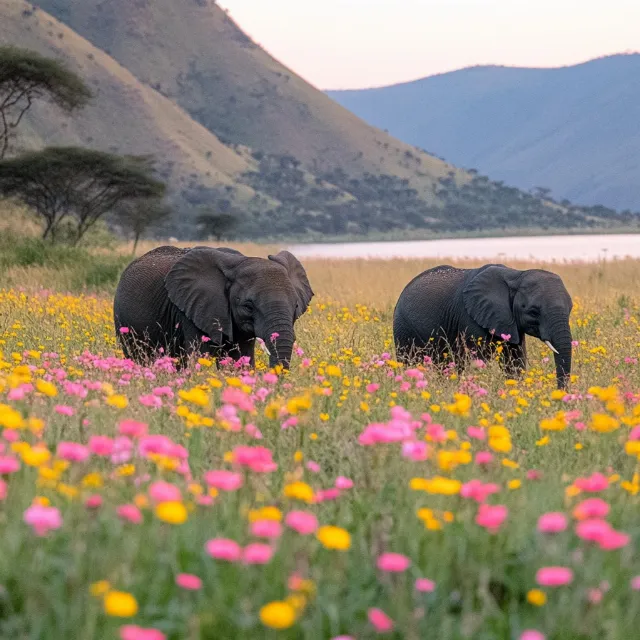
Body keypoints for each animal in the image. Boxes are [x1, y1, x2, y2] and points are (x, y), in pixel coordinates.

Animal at [396, 262, 576, 388]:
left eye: (570, 309)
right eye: (533, 312)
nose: (562, 395)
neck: (516, 275)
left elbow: (515, 362)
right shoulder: (470, 318)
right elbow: (478, 360)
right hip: (403, 328)